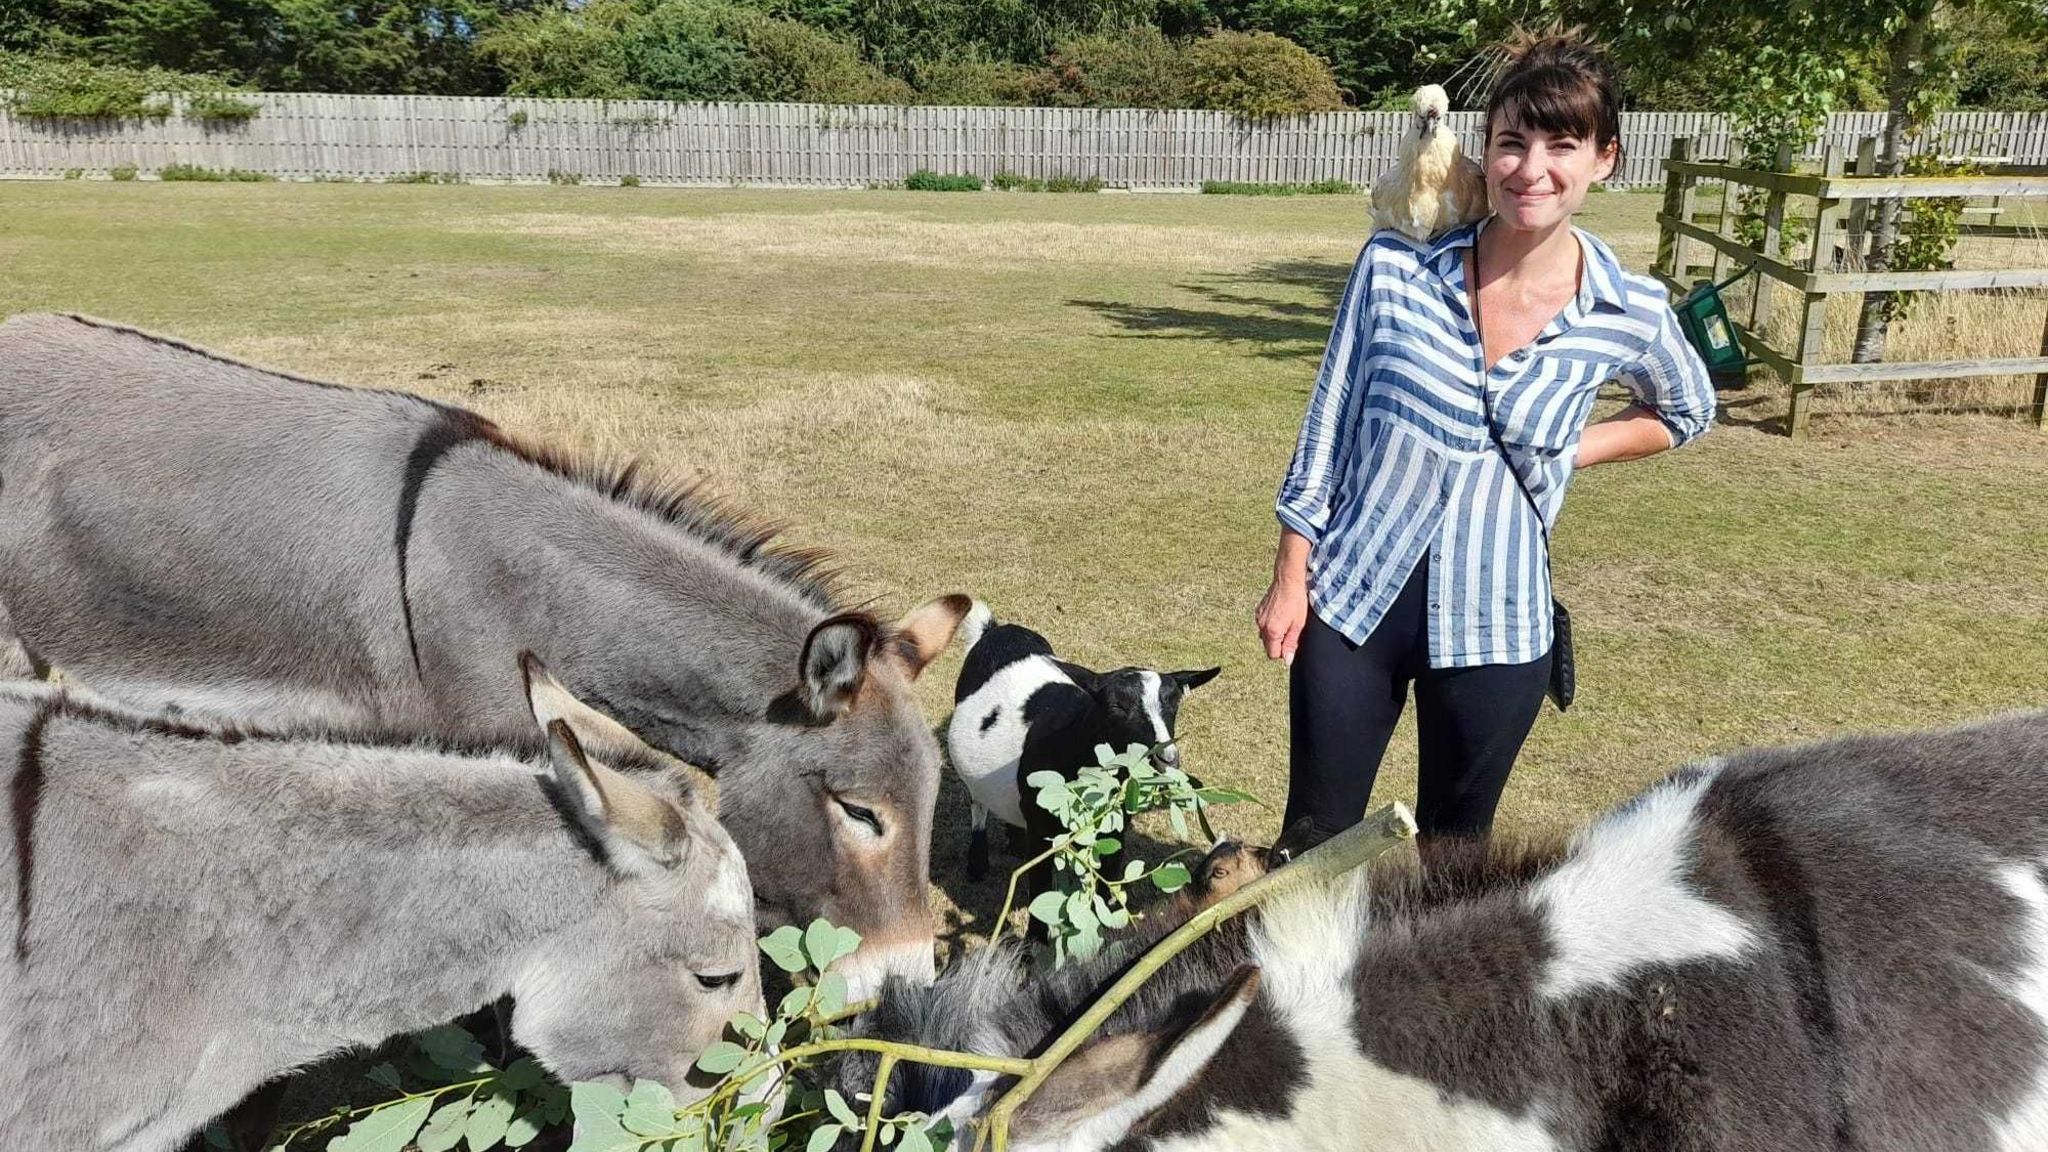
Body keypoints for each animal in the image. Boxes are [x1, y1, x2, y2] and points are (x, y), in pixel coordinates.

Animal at [942, 602, 1212, 877]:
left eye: (1175, 702)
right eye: (1116, 706)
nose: (1165, 758)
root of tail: (995, 629)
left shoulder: (1114, 827)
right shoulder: (1041, 831)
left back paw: (1015, 843)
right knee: (977, 800)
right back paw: (977, 863)